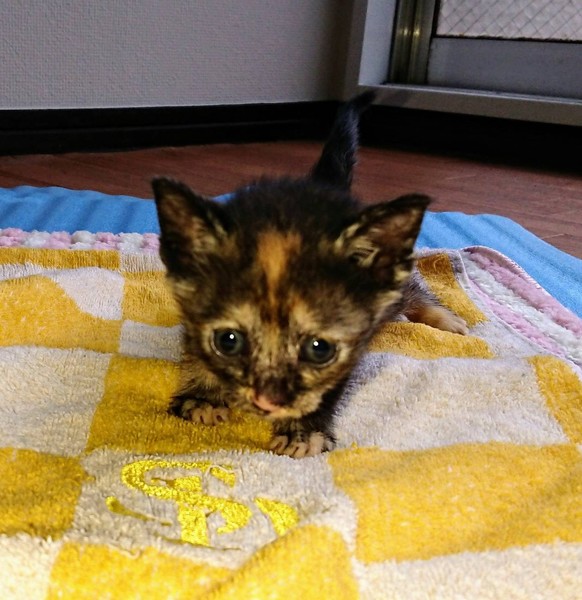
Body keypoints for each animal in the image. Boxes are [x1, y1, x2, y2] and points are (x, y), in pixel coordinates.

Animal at [152, 91, 467, 458]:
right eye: (228, 341)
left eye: (320, 350)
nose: (267, 402)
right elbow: (195, 349)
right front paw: (202, 396)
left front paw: (302, 431)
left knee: (409, 289)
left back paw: (445, 318)